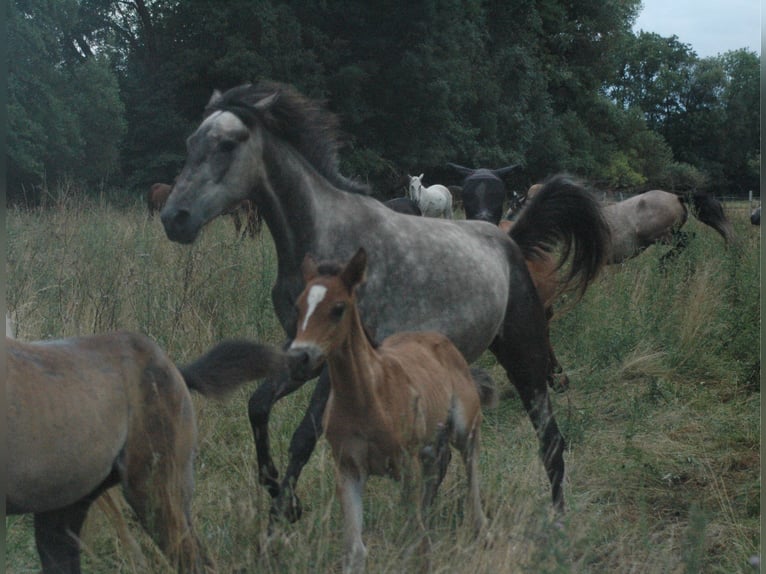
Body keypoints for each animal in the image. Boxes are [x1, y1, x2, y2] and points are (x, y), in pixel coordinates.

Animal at [160, 81, 610, 525]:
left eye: (228, 144)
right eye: (191, 142)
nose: (173, 218)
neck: (323, 237)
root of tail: (509, 240)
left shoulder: (336, 357)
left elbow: (304, 435)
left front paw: (282, 511)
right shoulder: (303, 350)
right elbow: (257, 406)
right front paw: (282, 498)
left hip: (524, 354)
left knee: (550, 438)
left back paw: (557, 521)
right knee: (442, 455)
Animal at [286, 248, 490, 573]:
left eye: (338, 308)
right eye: (298, 306)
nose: (299, 358)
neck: (366, 400)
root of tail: (441, 340)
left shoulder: (406, 464)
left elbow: (415, 536)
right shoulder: (348, 469)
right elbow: (355, 549)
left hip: (463, 427)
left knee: (470, 469)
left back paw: (483, 532)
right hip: (428, 449)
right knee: (436, 475)